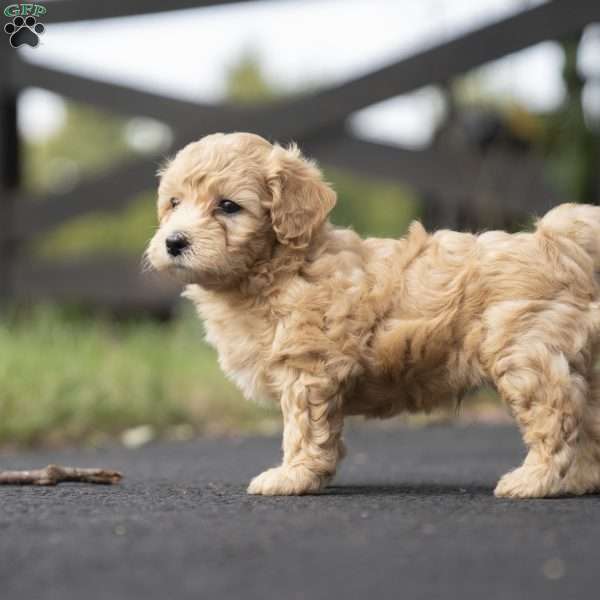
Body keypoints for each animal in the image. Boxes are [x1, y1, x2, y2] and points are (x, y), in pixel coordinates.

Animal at [148, 131, 600, 496]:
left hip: (525, 354)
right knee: (590, 422)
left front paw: (291, 476)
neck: (279, 268)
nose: (174, 242)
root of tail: (557, 244)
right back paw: (581, 480)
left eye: (228, 206)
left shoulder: (307, 369)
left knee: (556, 418)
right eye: (174, 203)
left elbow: (302, 430)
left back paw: (534, 482)